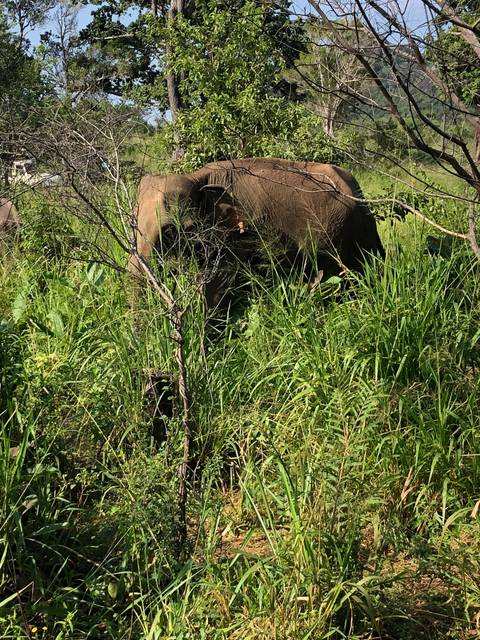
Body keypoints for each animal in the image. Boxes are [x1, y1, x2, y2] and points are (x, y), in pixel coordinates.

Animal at [128, 157, 384, 309]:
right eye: (131, 223)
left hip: (361, 231)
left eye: (173, 230)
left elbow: (217, 287)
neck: (198, 177)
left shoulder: (238, 237)